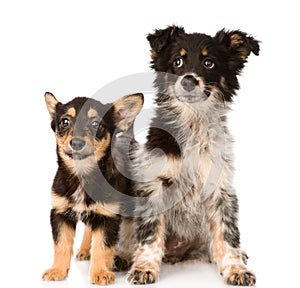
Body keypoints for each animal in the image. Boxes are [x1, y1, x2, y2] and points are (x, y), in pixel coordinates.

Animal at [42, 91, 144, 284]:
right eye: (65, 122)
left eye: (96, 124)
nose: (76, 143)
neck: (82, 174)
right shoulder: (60, 213)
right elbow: (61, 245)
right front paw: (57, 270)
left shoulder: (108, 217)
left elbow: (102, 246)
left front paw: (100, 272)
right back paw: (84, 250)